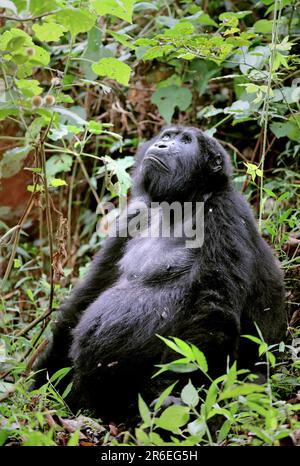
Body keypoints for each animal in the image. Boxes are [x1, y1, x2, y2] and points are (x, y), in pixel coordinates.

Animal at [35, 125, 286, 420]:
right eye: (166, 136)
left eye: (186, 141)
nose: (162, 146)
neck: (185, 203)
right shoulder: (134, 214)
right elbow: (88, 294)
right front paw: (43, 375)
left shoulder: (224, 213)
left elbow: (212, 311)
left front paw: (183, 399)